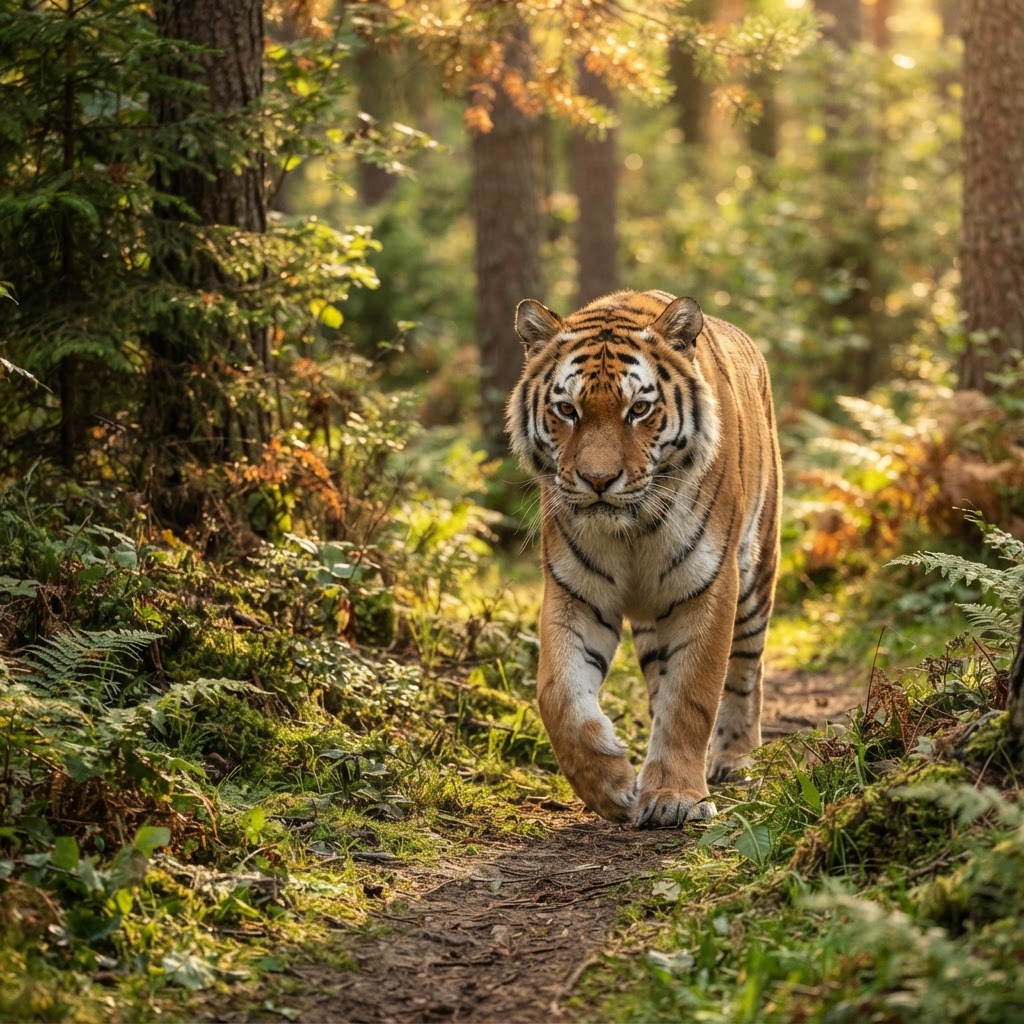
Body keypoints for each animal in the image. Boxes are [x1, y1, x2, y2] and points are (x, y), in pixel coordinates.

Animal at [506, 289, 781, 827]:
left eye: (639, 409)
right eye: (566, 409)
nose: (597, 480)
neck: (631, 530)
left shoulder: (707, 585)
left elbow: (692, 697)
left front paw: (675, 797)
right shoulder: (576, 592)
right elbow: (558, 695)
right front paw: (612, 787)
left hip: (756, 575)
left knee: (746, 672)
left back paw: (736, 759)